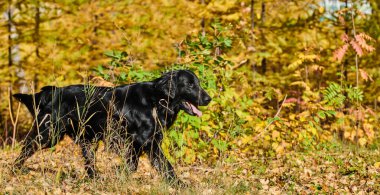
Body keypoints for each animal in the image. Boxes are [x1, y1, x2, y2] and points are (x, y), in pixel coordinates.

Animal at [12, 69, 211, 184]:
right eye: (189, 85)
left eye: (198, 83)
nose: (208, 99)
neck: (156, 100)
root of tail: (52, 92)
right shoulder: (137, 142)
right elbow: (134, 165)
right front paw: (118, 174)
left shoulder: (151, 143)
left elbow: (165, 167)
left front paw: (179, 185)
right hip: (49, 134)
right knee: (26, 148)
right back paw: (15, 169)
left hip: (86, 139)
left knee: (89, 164)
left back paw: (96, 179)